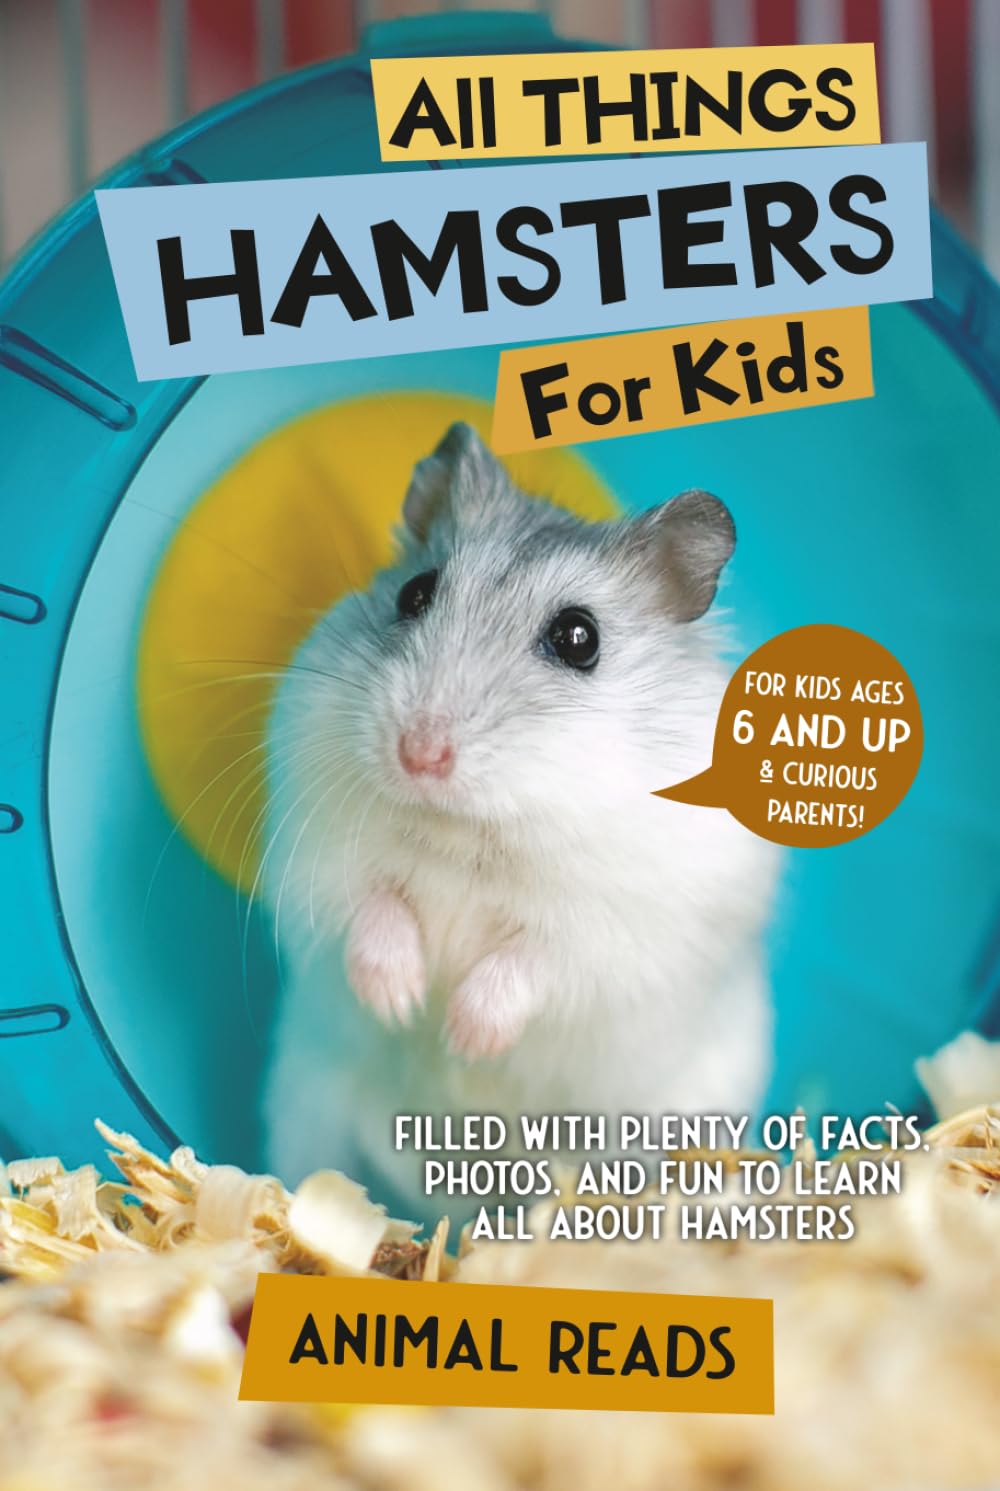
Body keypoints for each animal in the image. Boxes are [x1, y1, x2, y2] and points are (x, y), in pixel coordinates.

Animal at [262, 422, 779, 1204]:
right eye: (414, 592)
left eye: (578, 637)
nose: (418, 754)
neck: (468, 830)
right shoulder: (319, 853)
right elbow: (373, 907)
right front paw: (402, 1002)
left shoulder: (622, 931)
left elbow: (536, 959)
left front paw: (462, 1035)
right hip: (306, 1104)